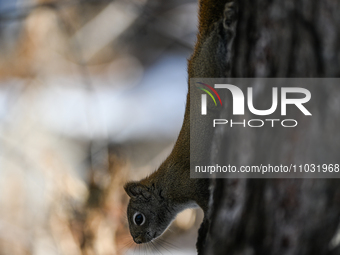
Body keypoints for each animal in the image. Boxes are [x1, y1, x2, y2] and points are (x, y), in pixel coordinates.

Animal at [123, 0, 238, 248]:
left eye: (138, 218)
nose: (137, 240)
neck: (166, 187)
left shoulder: (192, 185)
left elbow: (206, 204)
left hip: (213, 62)